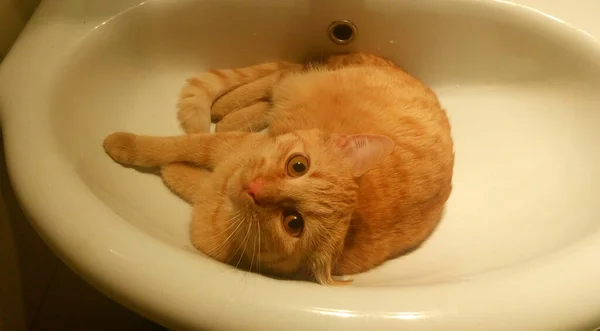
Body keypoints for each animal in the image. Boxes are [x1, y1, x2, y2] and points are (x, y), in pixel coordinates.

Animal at [103, 52, 452, 286]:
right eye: (298, 165)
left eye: (293, 223)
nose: (255, 188)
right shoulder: (229, 148)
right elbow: (178, 145)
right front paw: (126, 144)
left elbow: (191, 179)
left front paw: (173, 170)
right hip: (298, 87)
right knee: (278, 77)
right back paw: (226, 107)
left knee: (272, 91)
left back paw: (229, 114)